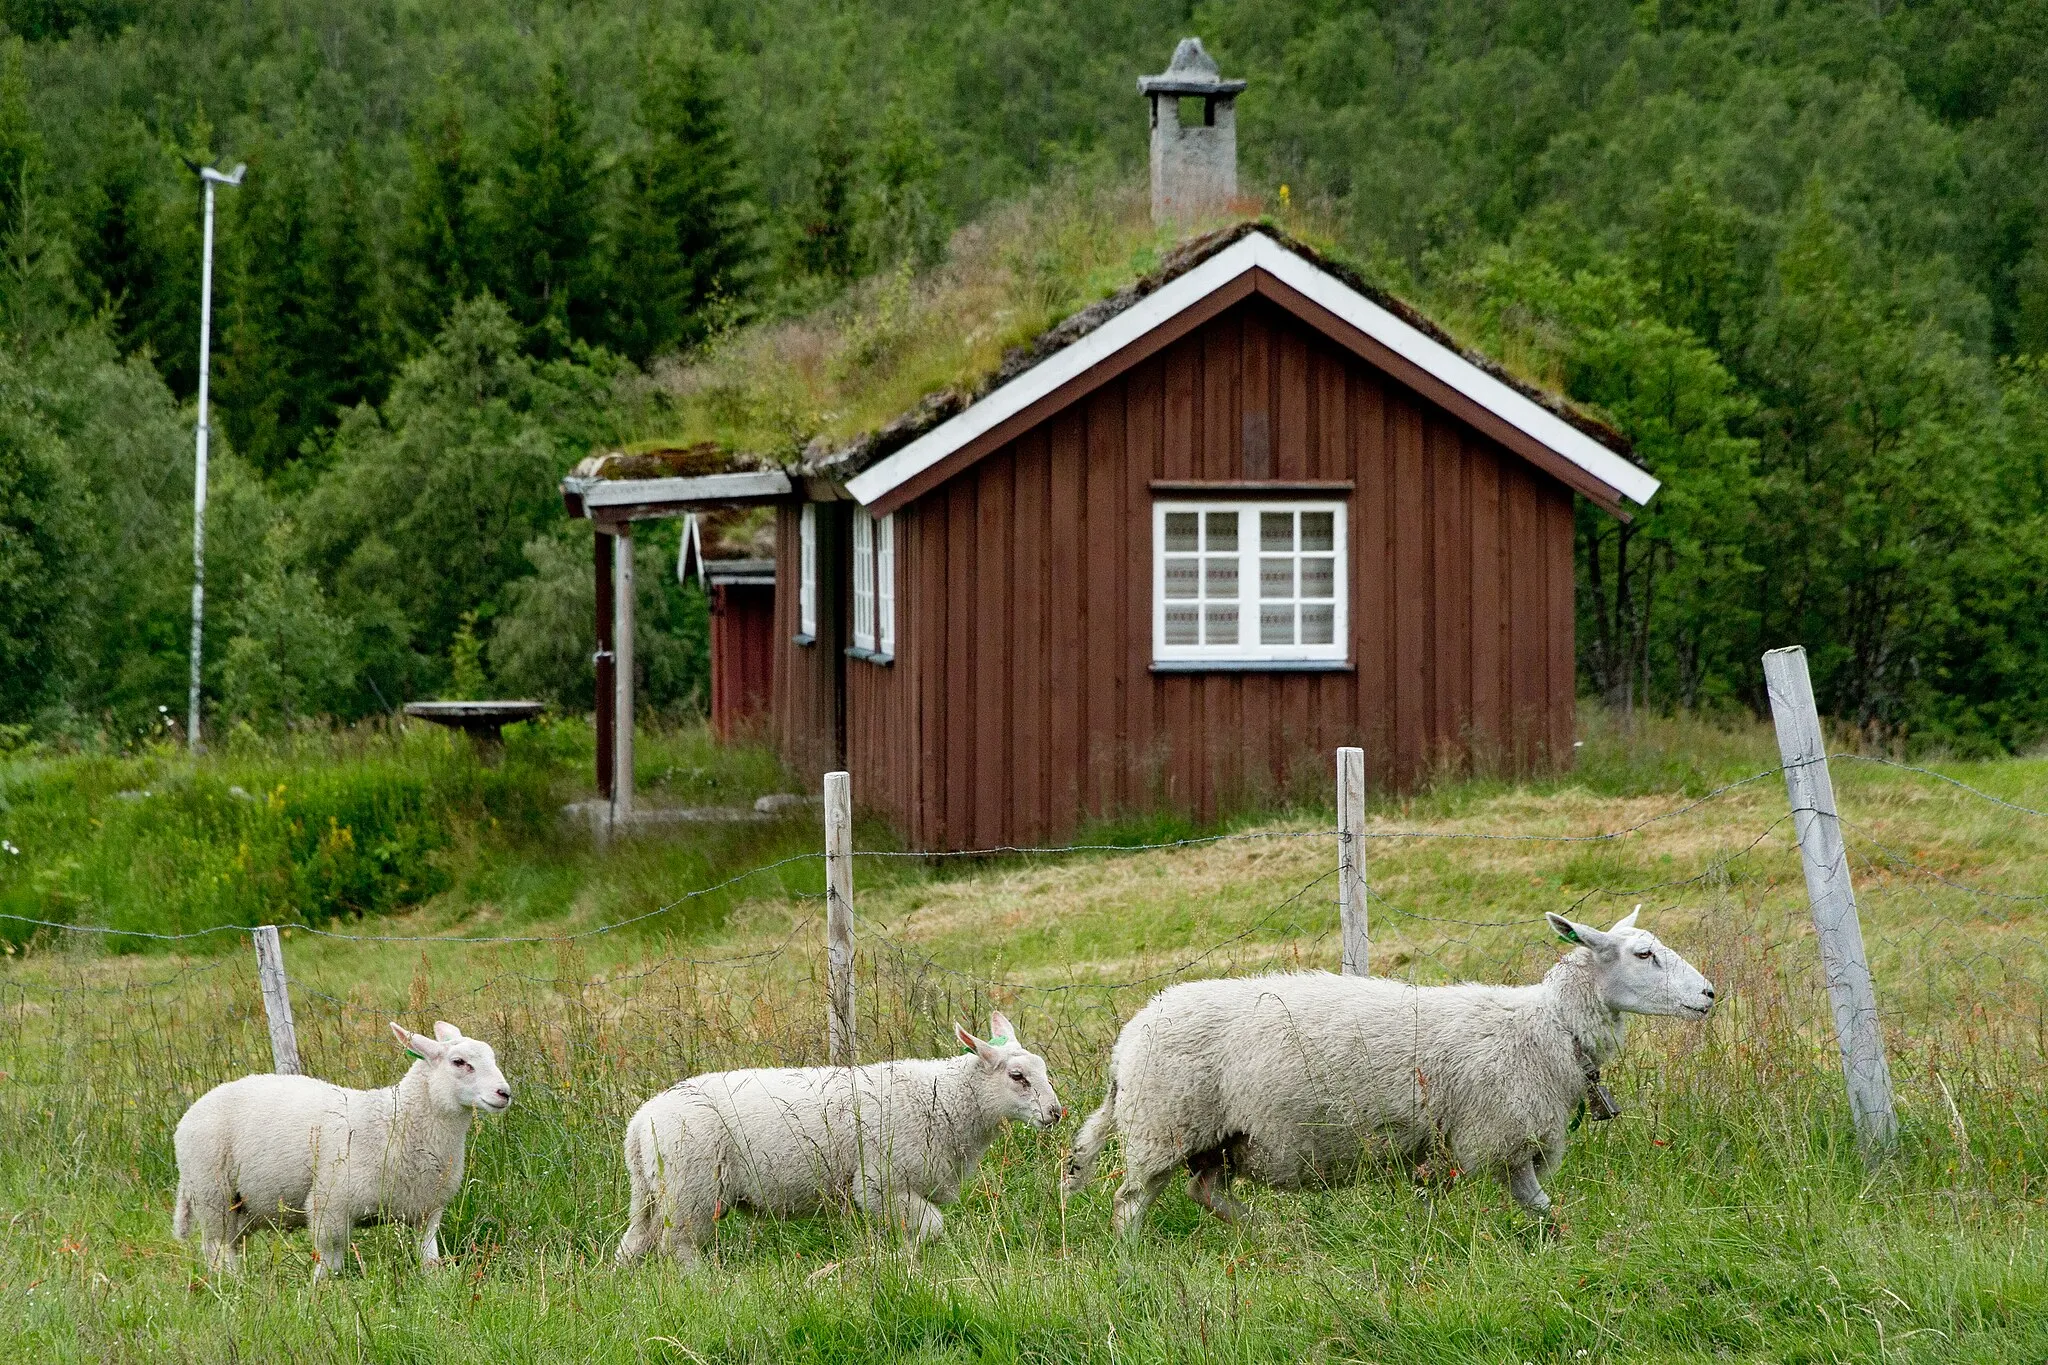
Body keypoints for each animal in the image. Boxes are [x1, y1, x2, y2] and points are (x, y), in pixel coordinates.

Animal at [172, 1019, 516, 1277]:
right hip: (212, 1193)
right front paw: (319, 1297)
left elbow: (429, 1259)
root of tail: (194, 1109)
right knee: (217, 1250)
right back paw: (234, 1288)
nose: (505, 1093)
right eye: (459, 1062)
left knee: (230, 1245)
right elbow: (329, 1265)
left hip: (244, 1206)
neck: (396, 1122)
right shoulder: (330, 1207)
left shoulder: (427, 1210)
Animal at [610, 1015, 1064, 1268]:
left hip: (652, 1191)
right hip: (690, 1189)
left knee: (634, 1243)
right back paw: (705, 1285)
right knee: (677, 1246)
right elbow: (933, 1227)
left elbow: (918, 1232)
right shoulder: (880, 1183)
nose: (1056, 1112)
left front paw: (899, 1260)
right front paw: (902, 1260)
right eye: (1017, 1076)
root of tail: (640, 1121)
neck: (946, 1099)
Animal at [1056, 912, 1712, 1236]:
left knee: (1205, 1191)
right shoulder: (1496, 1135)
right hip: (1164, 1125)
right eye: (1644, 954)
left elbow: (1498, 1203)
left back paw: (1270, 1233)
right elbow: (1533, 1202)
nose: (1708, 995)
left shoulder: (1466, 1145)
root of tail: (1128, 1040)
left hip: (1217, 1137)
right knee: (1130, 1203)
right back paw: (1131, 1263)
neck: (1547, 1028)